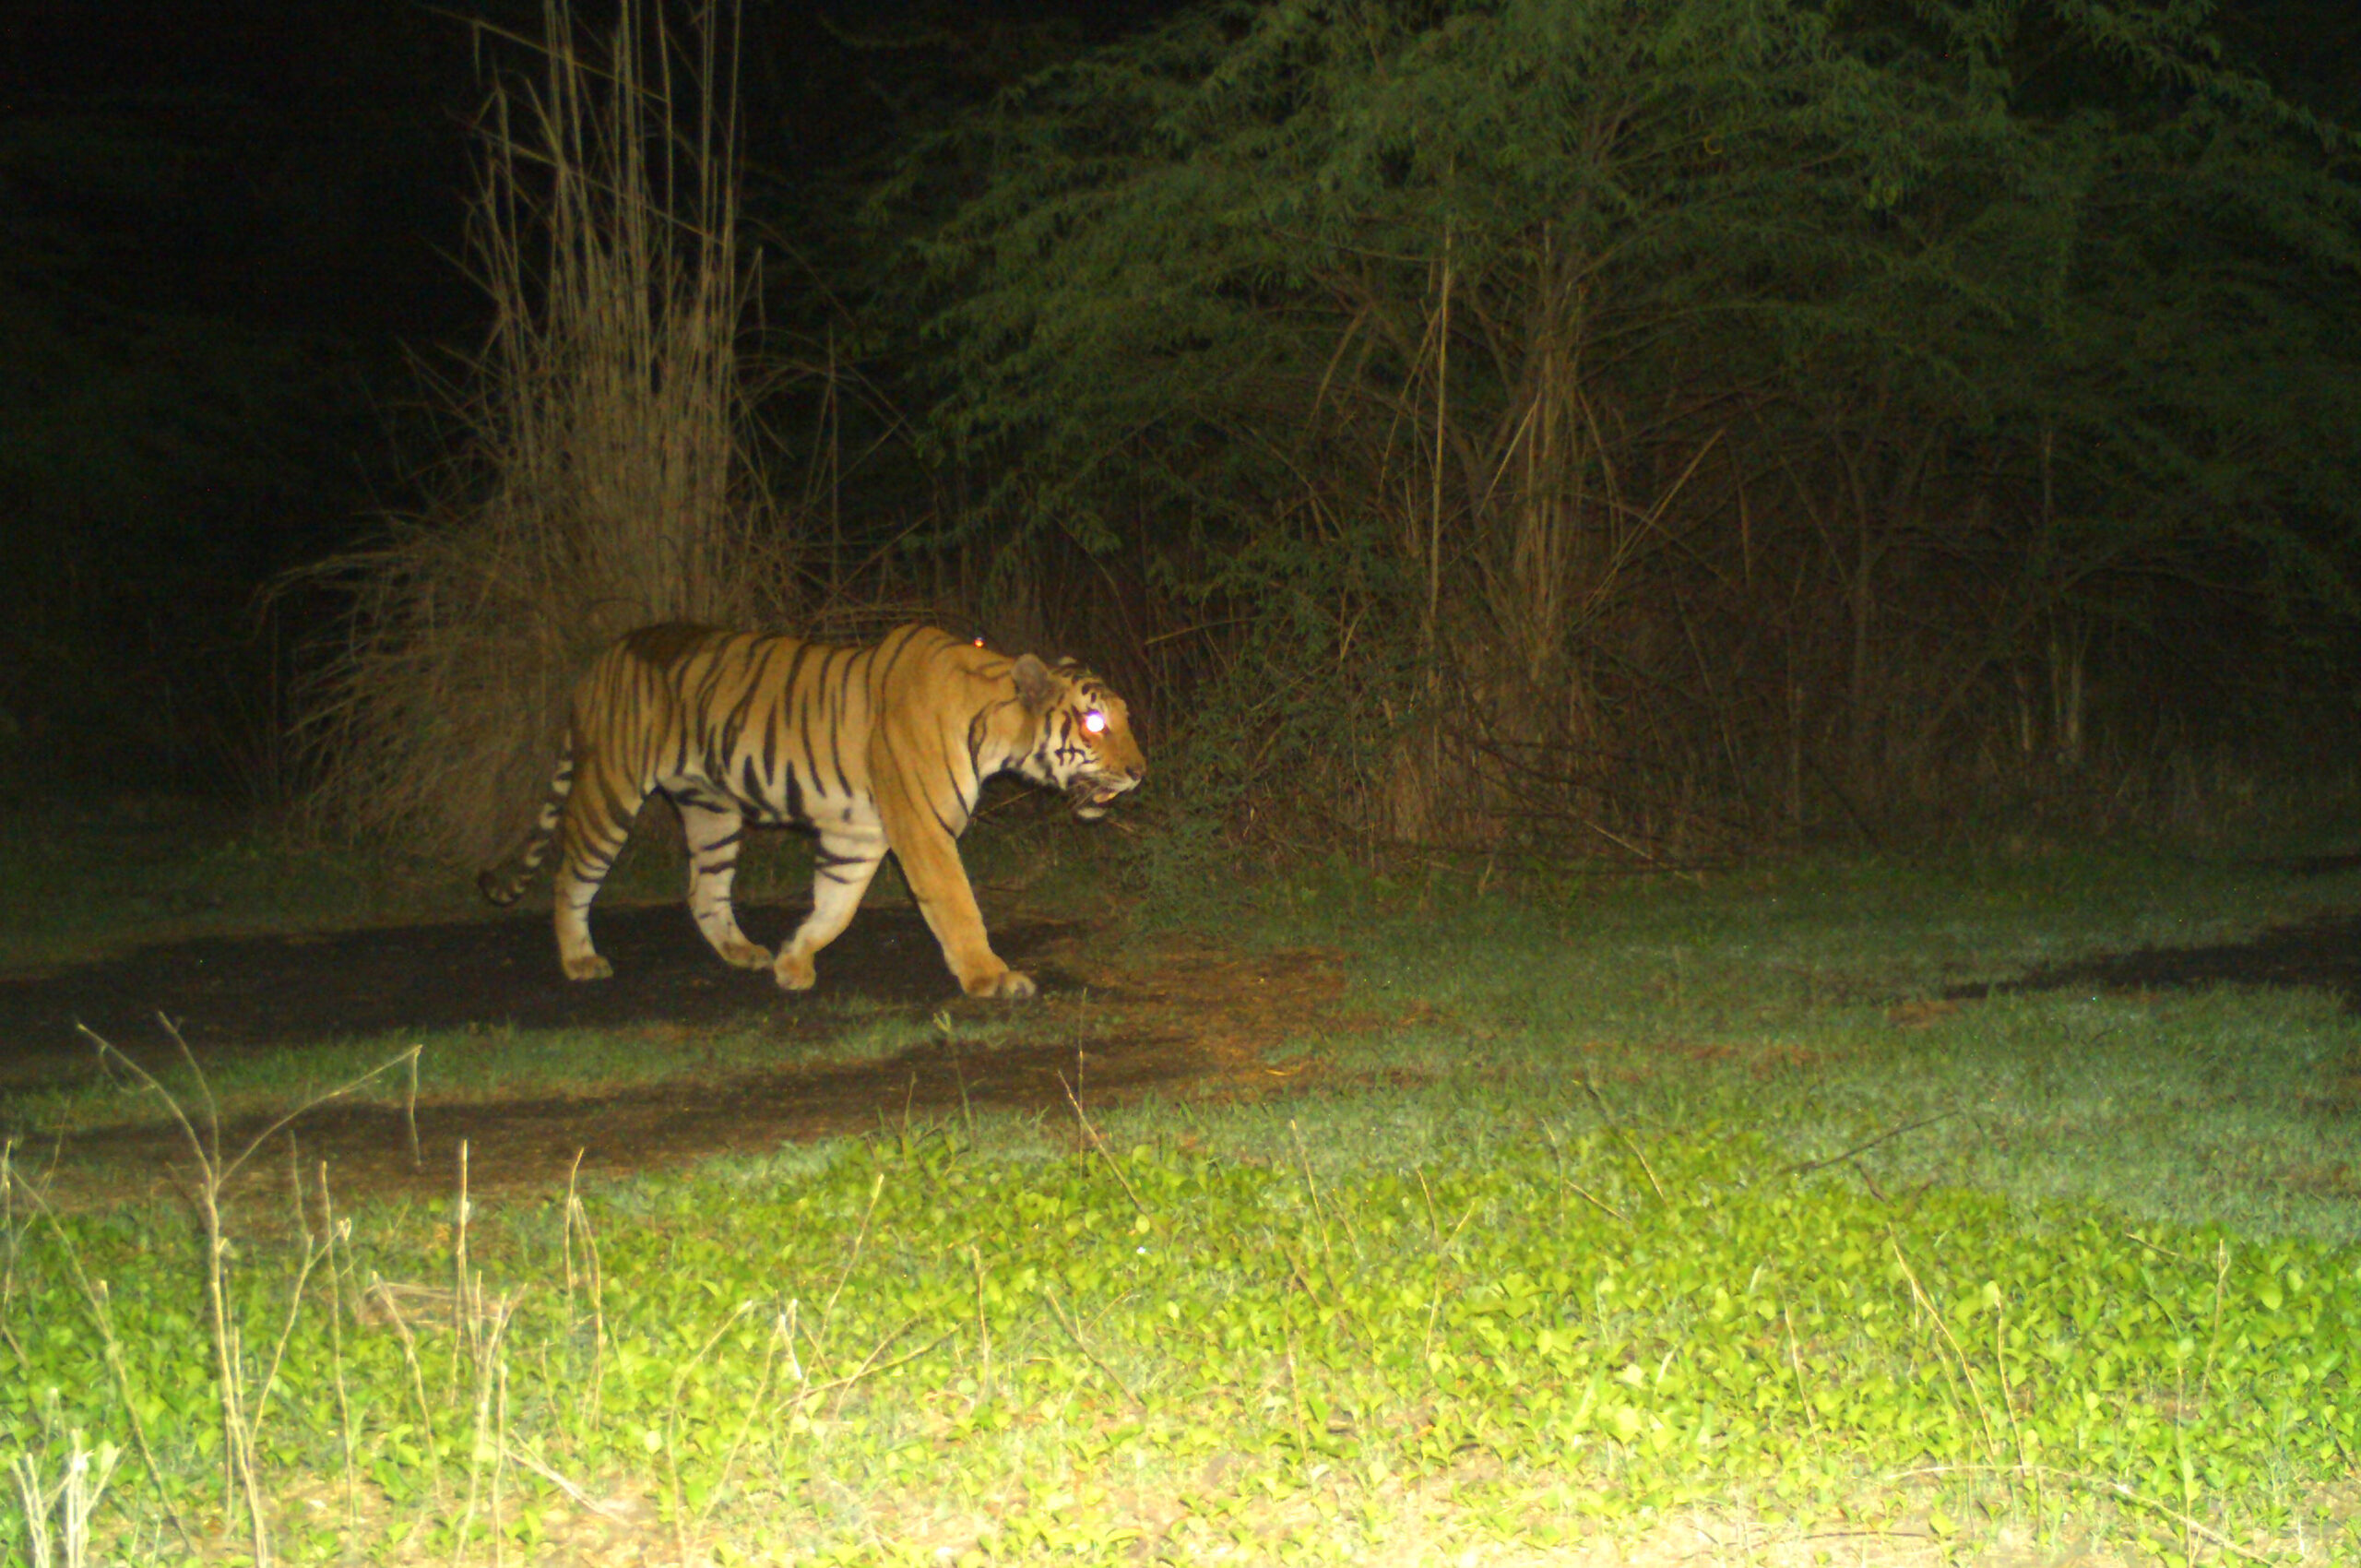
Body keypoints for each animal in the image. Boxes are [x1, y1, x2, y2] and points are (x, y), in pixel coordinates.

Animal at [479, 623, 1143, 996]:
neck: (997, 730)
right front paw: (992, 978)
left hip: (713, 811)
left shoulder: (858, 837)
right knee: (571, 877)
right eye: (1094, 722)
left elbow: (835, 906)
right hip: (610, 791)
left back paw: (744, 953)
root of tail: (600, 663)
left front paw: (793, 961)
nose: (1140, 771)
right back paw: (579, 960)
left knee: (703, 890)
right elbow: (956, 907)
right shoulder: (923, 831)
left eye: (1123, 717)